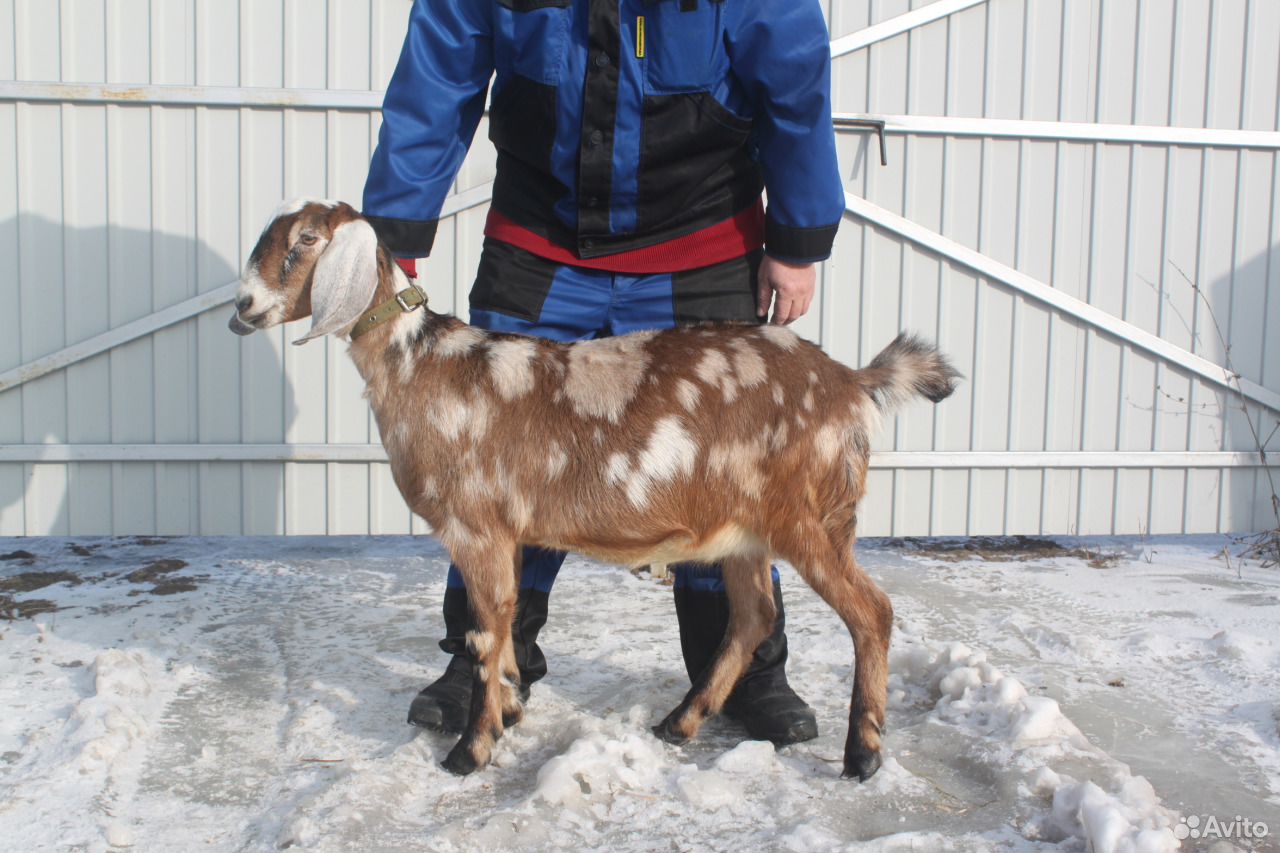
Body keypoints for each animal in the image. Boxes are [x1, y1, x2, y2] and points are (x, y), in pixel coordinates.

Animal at [230, 199, 957, 778]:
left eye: (302, 242)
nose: (241, 308)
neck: (420, 365)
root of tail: (854, 383)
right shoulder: (505, 535)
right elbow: (503, 628)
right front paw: (509, 709)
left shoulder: (476, 526)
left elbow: (482, 633)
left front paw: (471, 750)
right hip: (745, 531)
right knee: (754, 615)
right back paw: (680, 722)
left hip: (812, 517)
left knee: (871, 612)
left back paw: (862, 754)